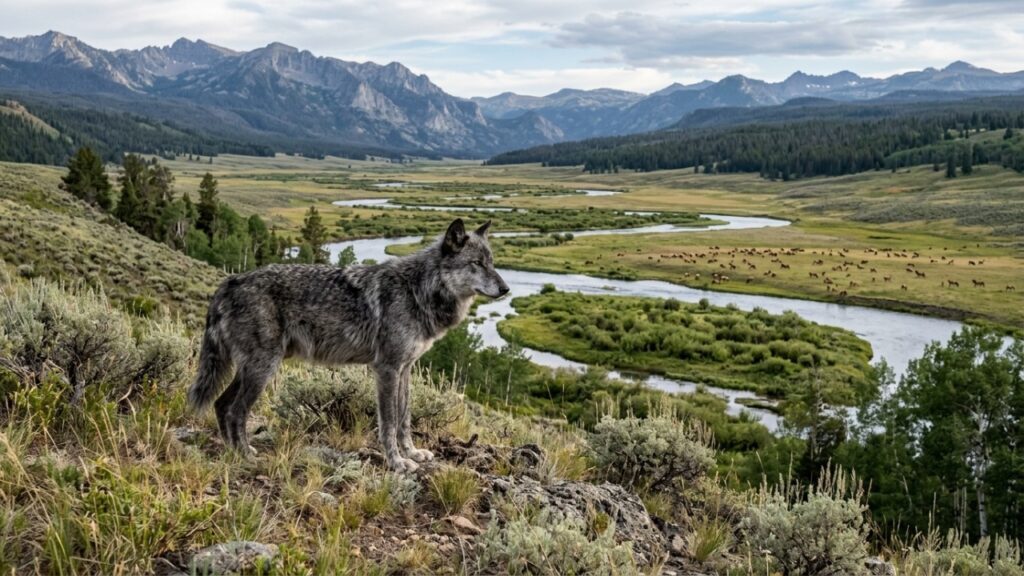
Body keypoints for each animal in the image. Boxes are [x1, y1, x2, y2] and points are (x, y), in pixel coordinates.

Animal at [187, 218, 509, 472]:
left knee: (221, 404)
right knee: (235, 411)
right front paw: (397, 463)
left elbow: (404, 418)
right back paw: (244, 455)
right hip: (262, 370)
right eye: (477, 264)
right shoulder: (387, 369)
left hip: (251, 370)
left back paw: (232, 451)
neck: (418, 290)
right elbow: (389, 422)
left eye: (492, 262)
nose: (506, 289)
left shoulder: (405, 369)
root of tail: (229, 281)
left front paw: (413, 453)